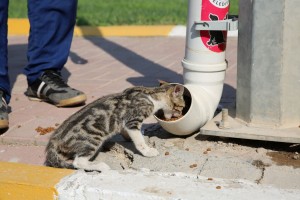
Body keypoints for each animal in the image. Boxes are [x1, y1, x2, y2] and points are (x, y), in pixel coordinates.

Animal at [44, 83, 185, 171]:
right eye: (182, 106)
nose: (181, 114)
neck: (152, 95)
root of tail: (55, 138)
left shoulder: (126, 123)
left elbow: (128, 132)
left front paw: (130, 137)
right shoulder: (132, 121)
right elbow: (139, 141)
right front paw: (148, 151)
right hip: (93, 139)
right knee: (78, 162)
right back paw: (100, 166)